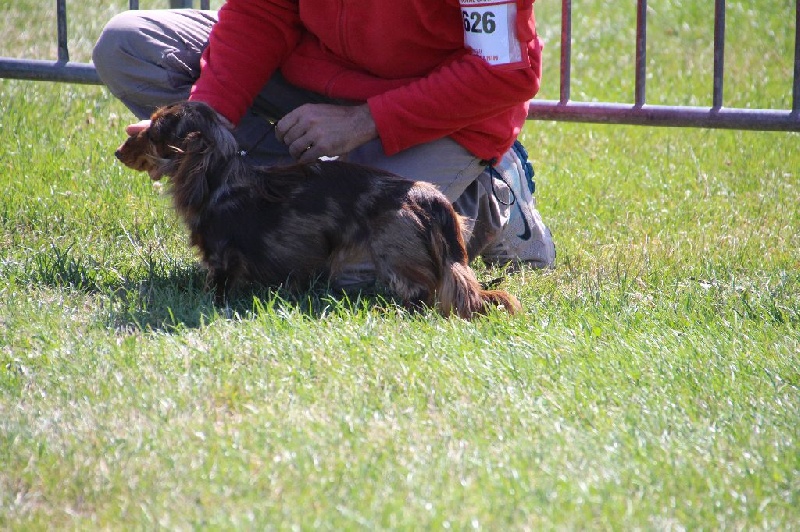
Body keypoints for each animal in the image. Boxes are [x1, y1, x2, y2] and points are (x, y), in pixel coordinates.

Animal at [115, 101, 521, 319]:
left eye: (154, 131)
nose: (117, 151)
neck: (222, 180)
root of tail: (427, 196)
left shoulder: (223, 258)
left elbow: (217, 288)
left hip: (392, 253)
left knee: (421, 296)